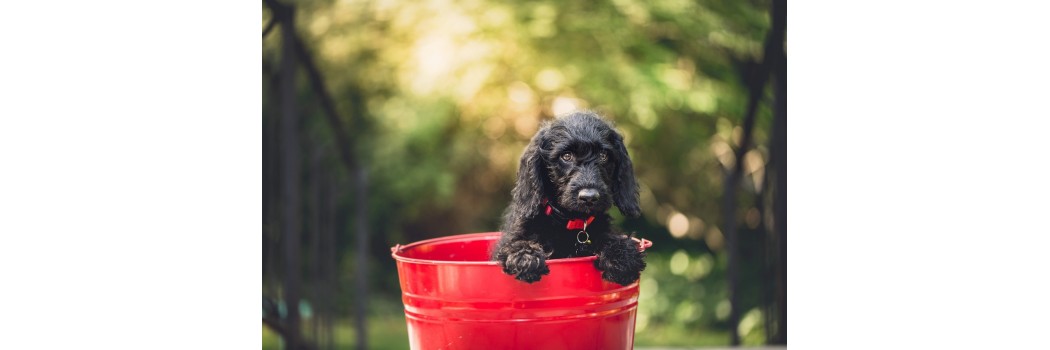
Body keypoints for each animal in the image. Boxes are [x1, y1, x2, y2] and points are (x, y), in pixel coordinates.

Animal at [491, 110, 646, 285]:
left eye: (603, 155)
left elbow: (611, 238)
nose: (589, 197)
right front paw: (525, 258)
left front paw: (622, 256)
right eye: (566, 156)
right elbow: (516, 244)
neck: (571, 221)